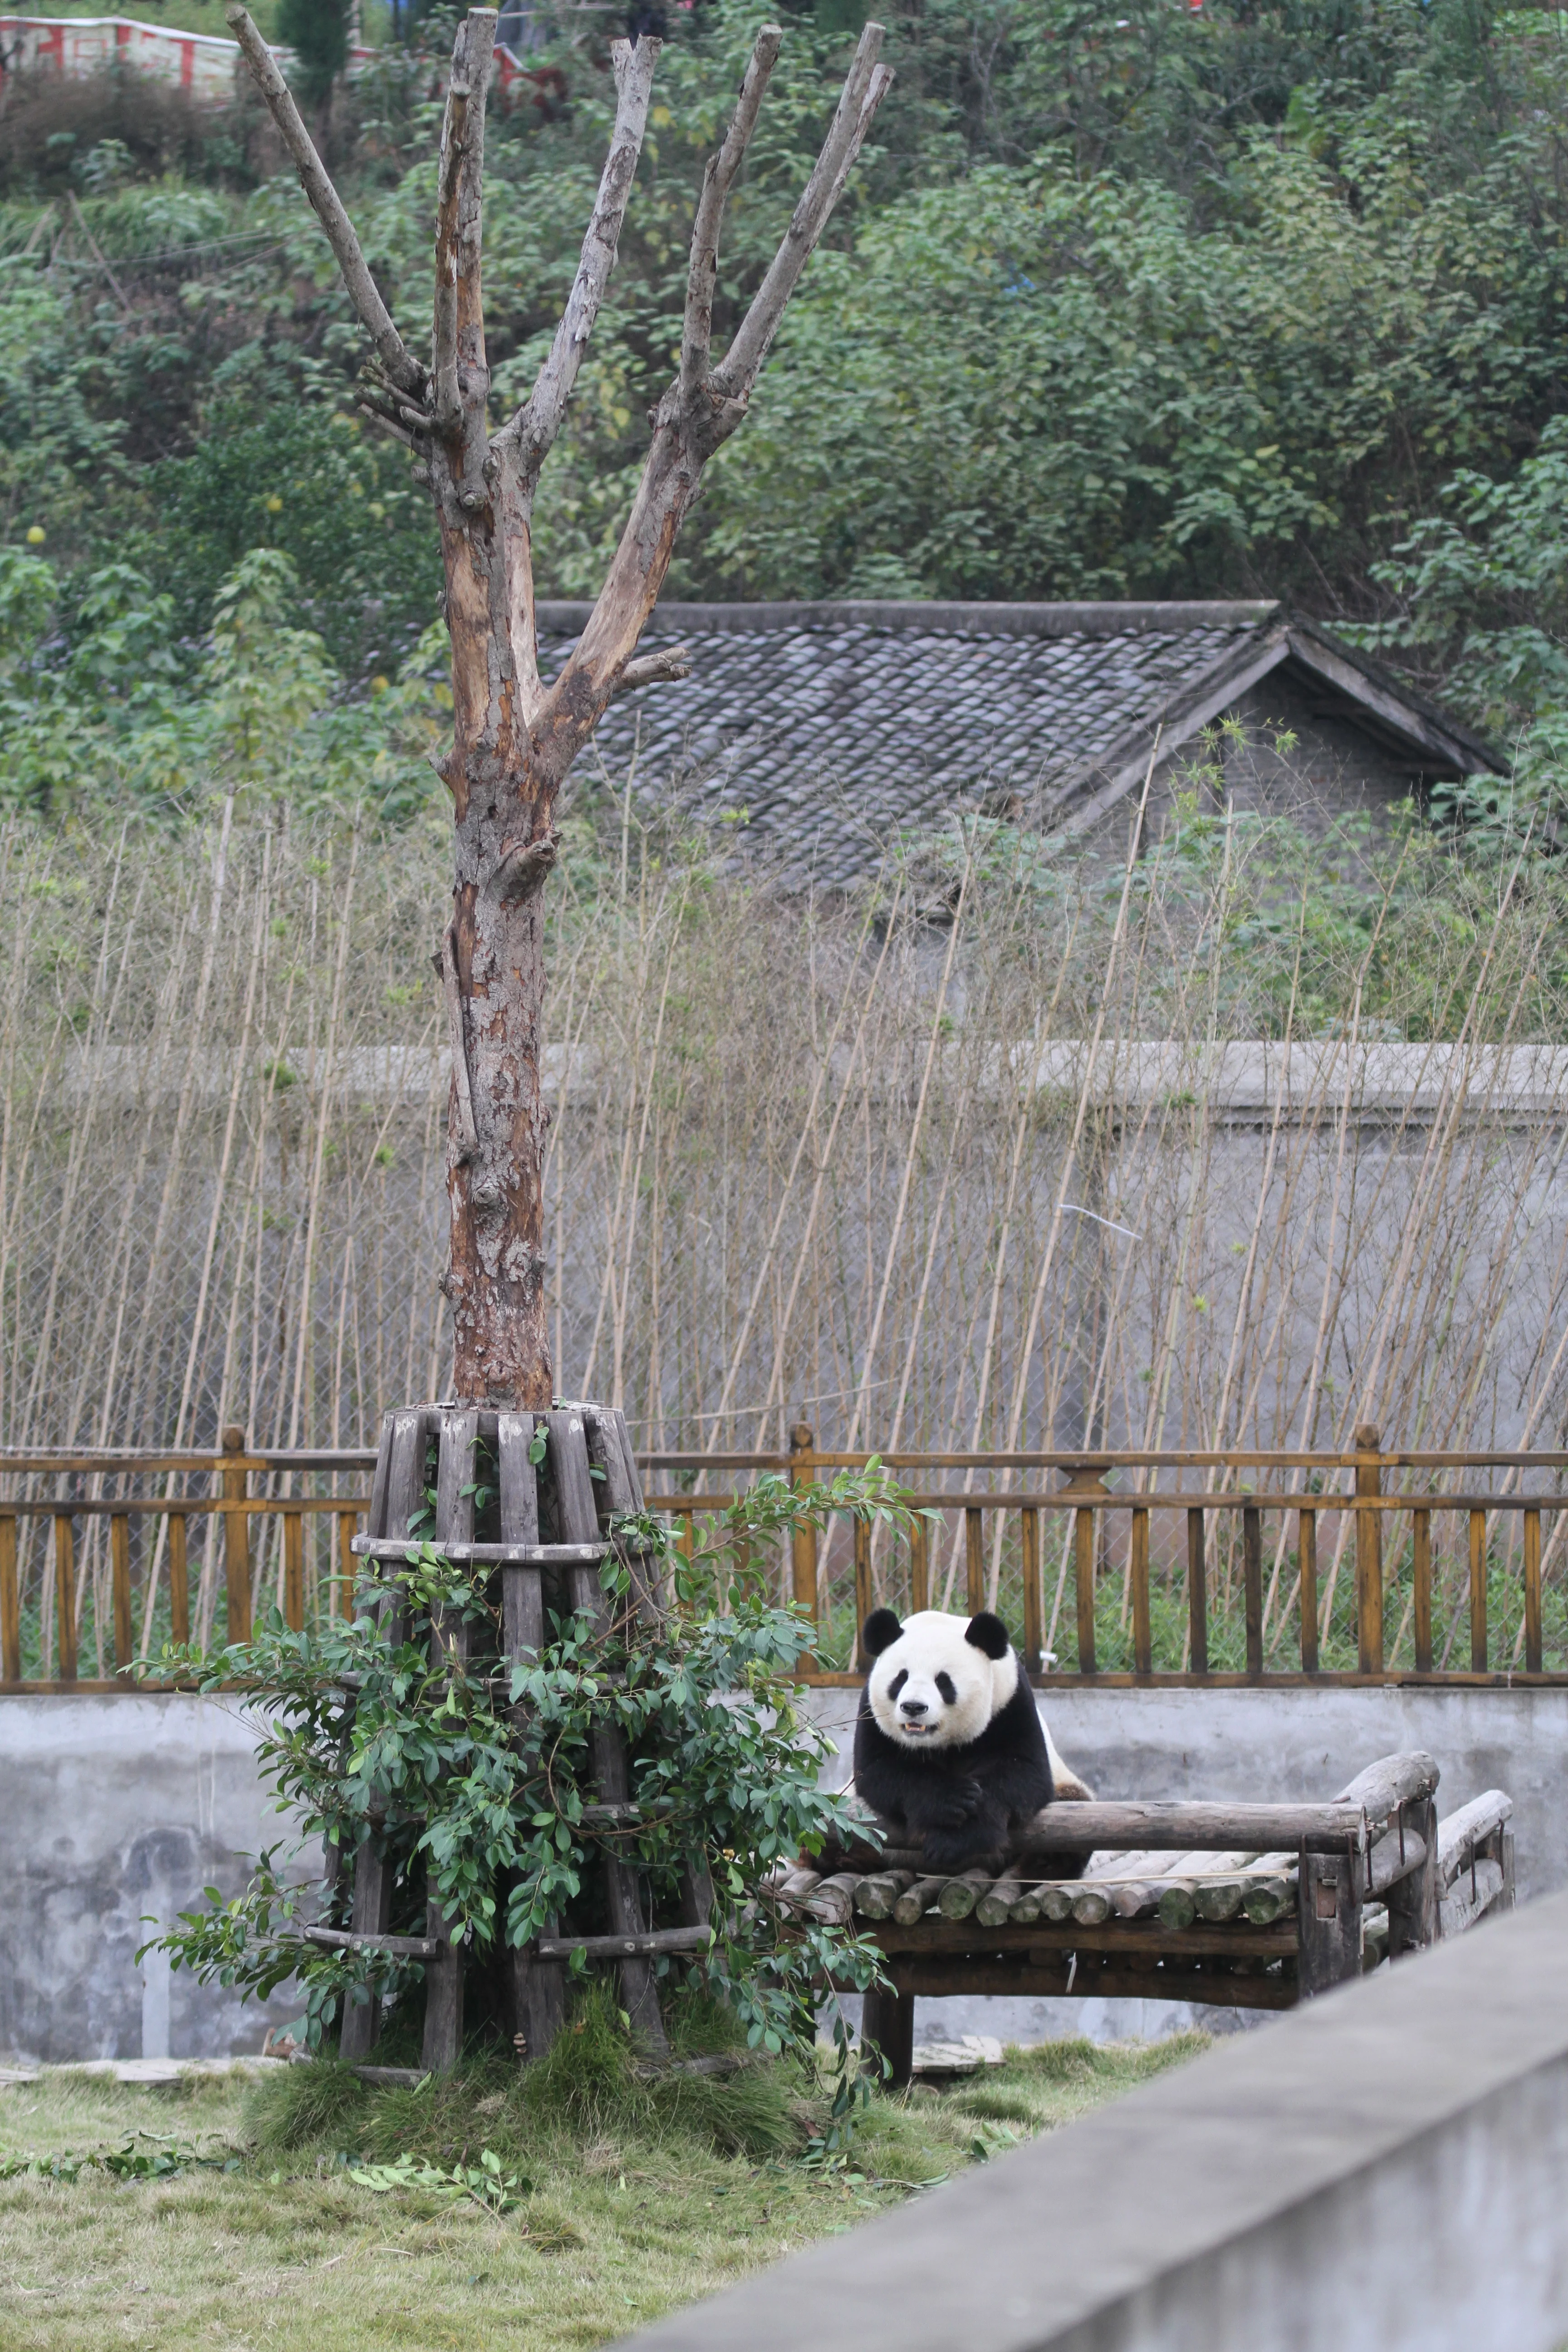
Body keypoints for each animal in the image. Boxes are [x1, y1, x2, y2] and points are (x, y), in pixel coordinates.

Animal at [852, 1607, 1091, 1874]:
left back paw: (1044, 1865)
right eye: (901, 1678)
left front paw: (954, 1841)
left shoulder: (1010, 1702)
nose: (913, 1707)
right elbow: (880, 1772)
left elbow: (1023, 1773)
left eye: (943, 1681)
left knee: (1074, 1812)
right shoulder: (871, 1714)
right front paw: (951, 1799)